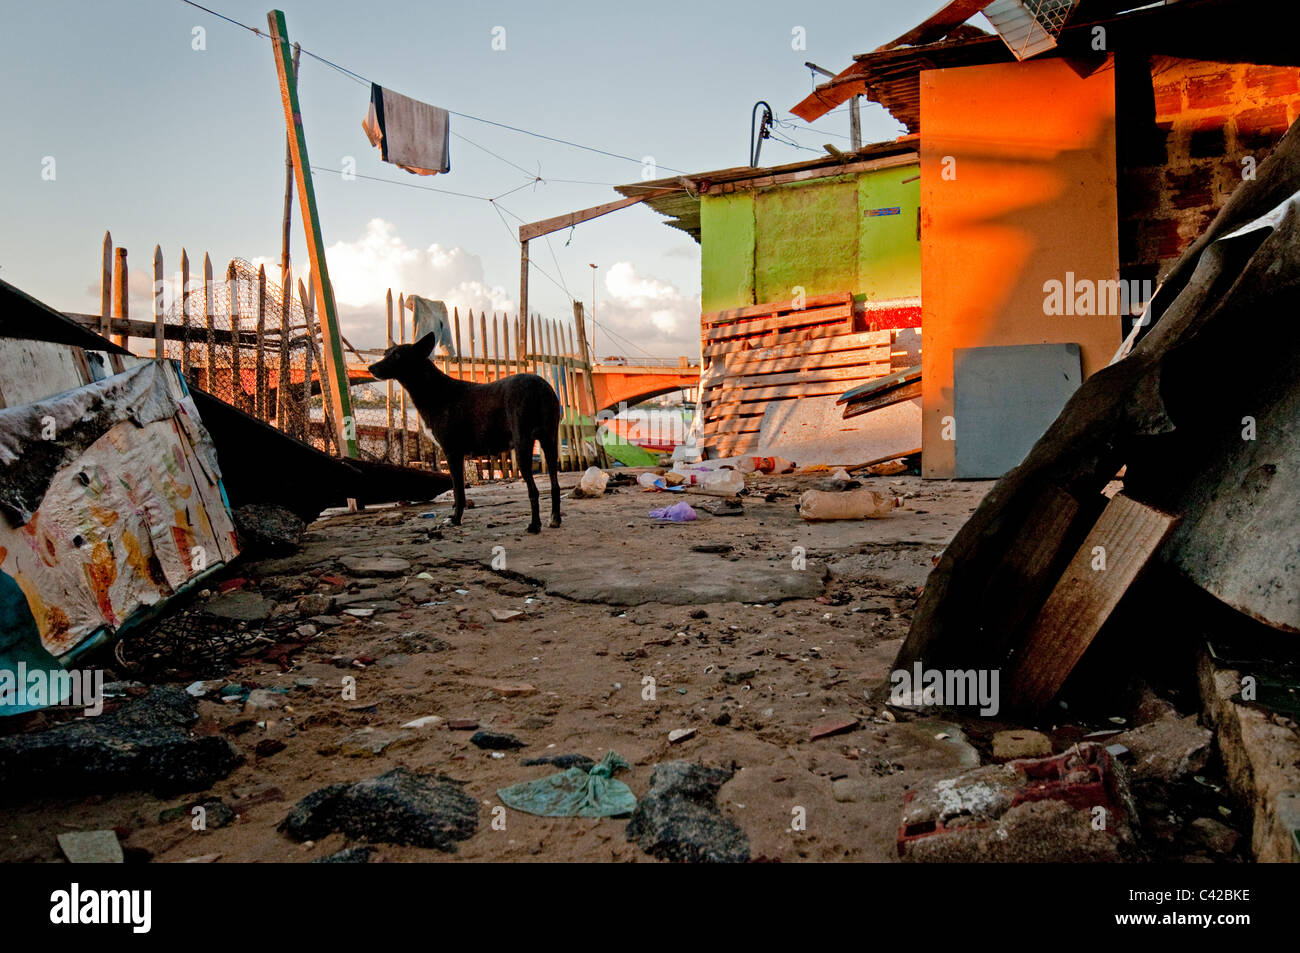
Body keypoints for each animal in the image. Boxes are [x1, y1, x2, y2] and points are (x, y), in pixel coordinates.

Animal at [371, 330, 564, 530]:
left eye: (397, 355)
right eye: (385, 353)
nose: (370, 368)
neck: (434, 390)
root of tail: (540, 386)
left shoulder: (452, 453)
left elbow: (458, 493)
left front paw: (455, 519)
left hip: (522, 446)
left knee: (534, 490)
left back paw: (534, 525)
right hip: (549, 443)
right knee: (555, 485)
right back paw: (555, 519)